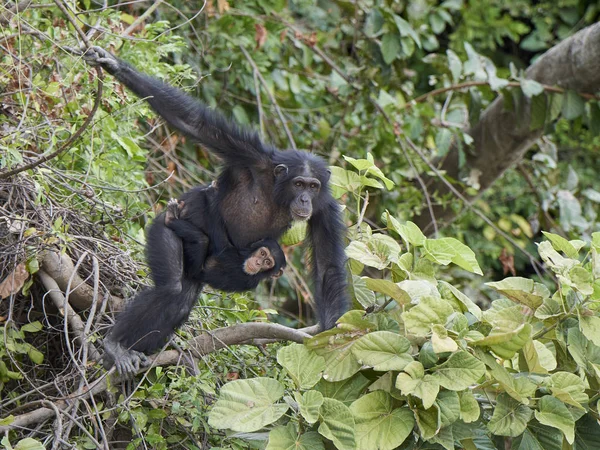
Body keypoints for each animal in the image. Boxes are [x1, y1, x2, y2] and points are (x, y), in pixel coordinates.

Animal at [84, 46, 346, 376]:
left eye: (313, 186)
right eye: (299, 183)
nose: (304, 200)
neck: (279, 193)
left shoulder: (326, 208)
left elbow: (327, 268)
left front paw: (334, 341)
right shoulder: (251, 156)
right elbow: (195, 124)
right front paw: (114, 65)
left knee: (181, 299)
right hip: (163, 227)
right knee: (170, 286)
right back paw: (115, 346)